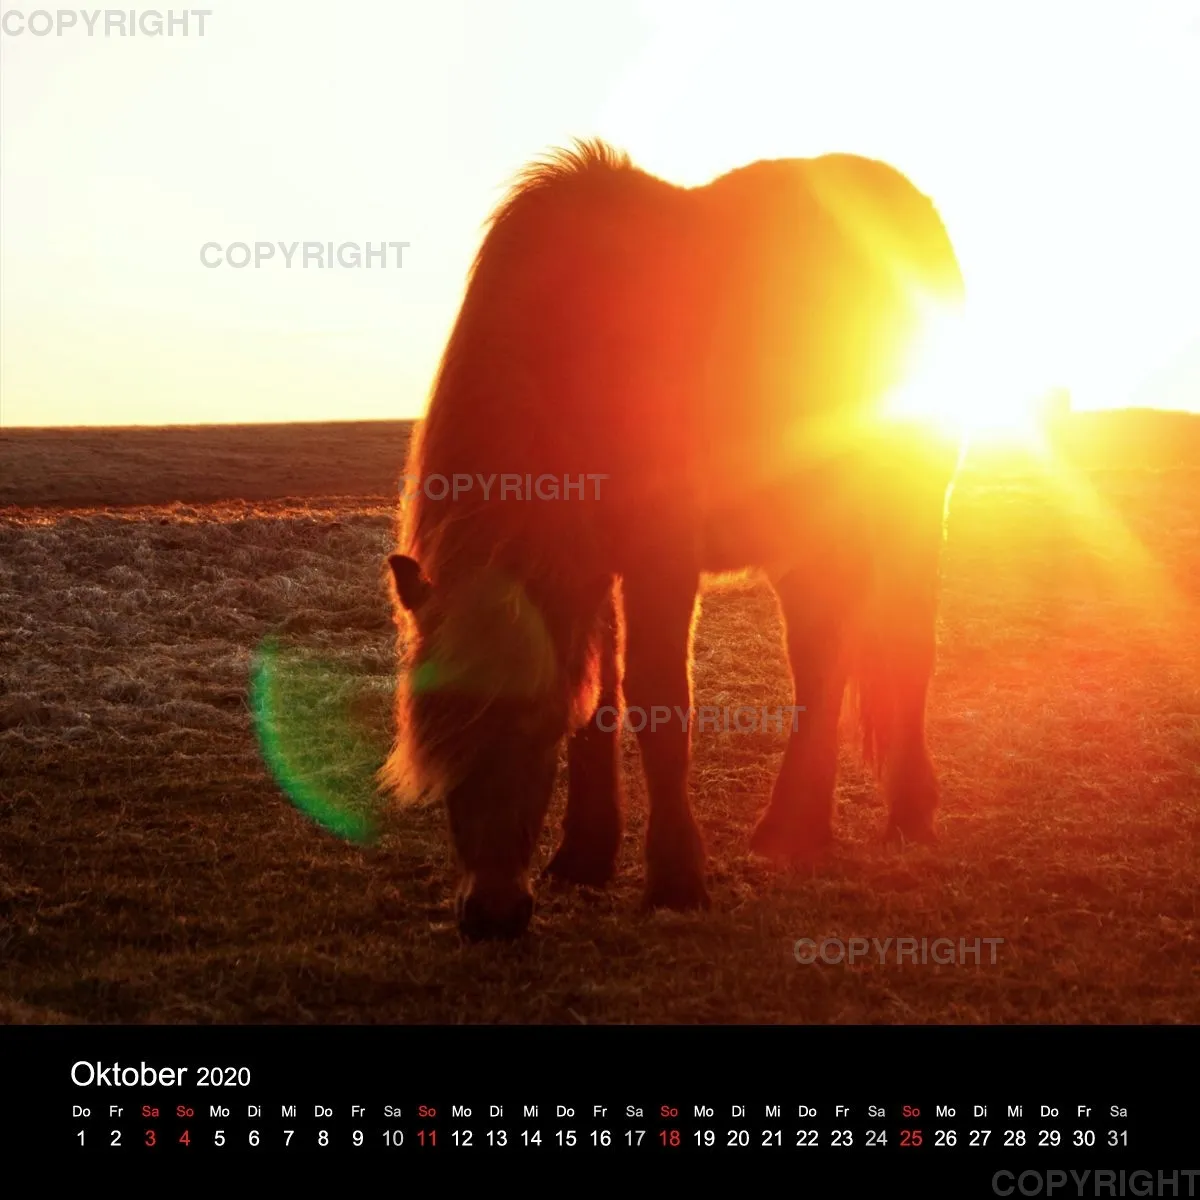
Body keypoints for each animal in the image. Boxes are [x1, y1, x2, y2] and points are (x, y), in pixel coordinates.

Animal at [384, 139, 965, 939]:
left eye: (532, 730)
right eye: (439, 741)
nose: (494, 913)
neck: (581, 345)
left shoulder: (661, 561)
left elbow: (660, 701)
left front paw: (676, 875)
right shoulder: (585, 570)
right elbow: (599, 704)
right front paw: (585, 853)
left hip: (906, 505)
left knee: (902, 643)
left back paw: (900, 813)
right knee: (821, 650)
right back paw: (798, 825)